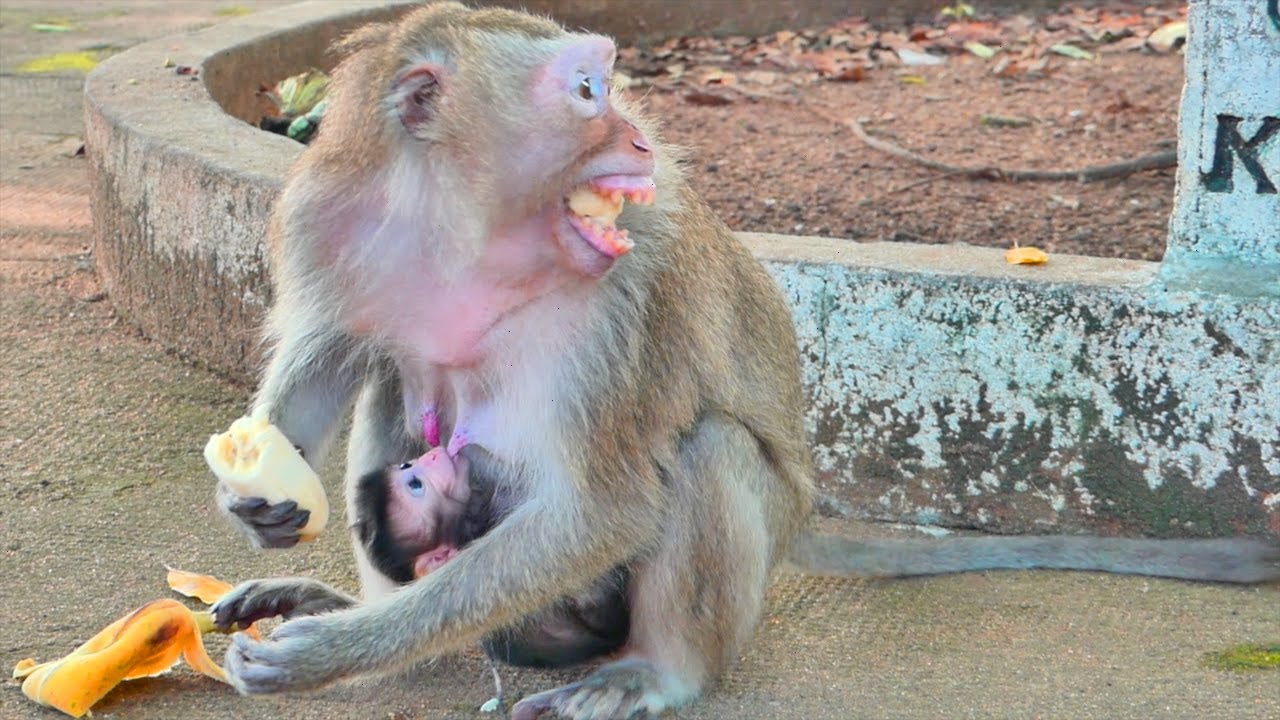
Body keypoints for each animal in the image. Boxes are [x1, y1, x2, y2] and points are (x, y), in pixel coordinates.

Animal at [210, 3, 1280, 718]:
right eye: (588, 89)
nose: (642, 136)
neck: (465, 230)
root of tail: (805, 511)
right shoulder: (330, 222)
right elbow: (331, 357)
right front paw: (261, 500)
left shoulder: (623, 296)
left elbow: (605, 505)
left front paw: (338, 650)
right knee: (393, 378)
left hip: (746, 532)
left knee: (705, 451)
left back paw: (659, 672)